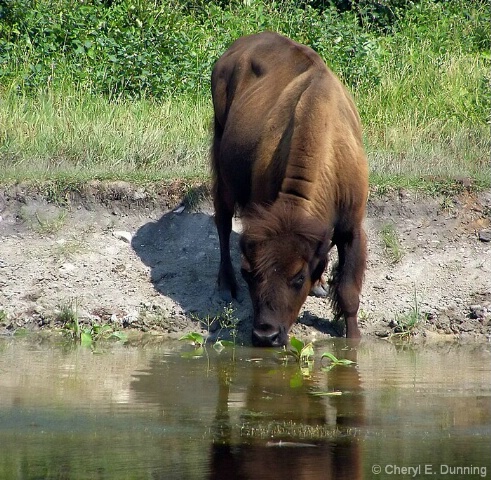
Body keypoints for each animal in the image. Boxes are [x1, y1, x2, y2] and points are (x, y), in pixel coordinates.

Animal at [211, 31, 368, 346]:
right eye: (249, 273)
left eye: (298, 277)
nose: (265, 335)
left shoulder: (352, 228)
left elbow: (348, 292)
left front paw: (353, 339)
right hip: (221, 157)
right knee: (222, 219)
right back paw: (225, 286)